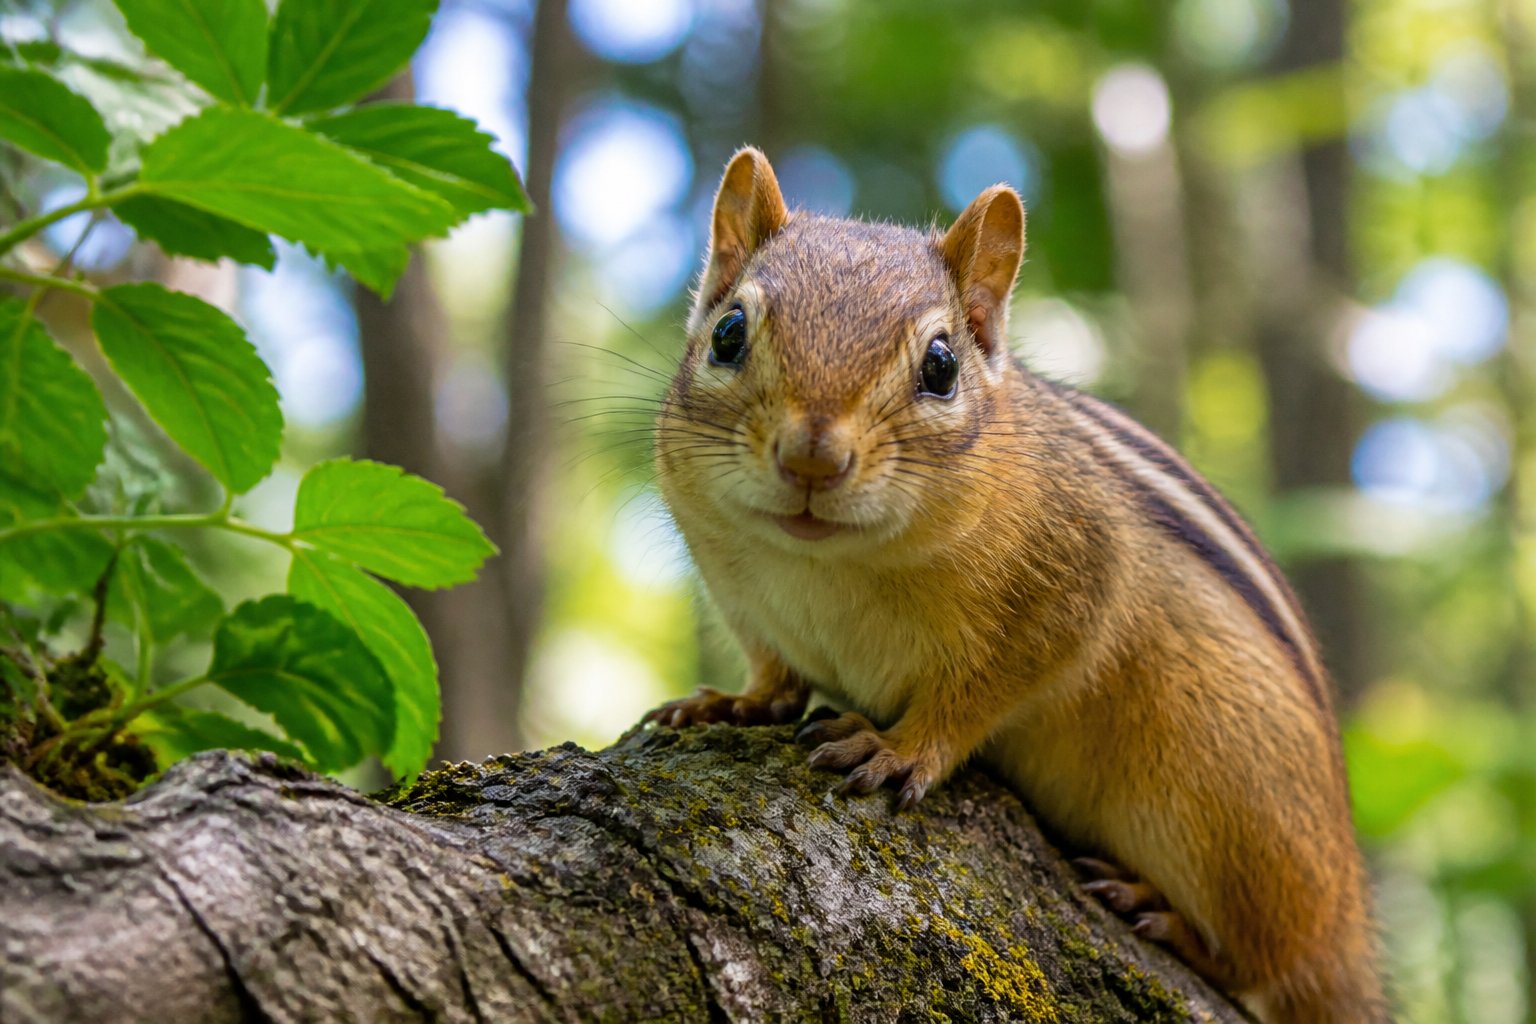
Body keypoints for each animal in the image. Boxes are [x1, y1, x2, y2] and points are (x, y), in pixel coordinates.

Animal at [642, 147, 1386, 1024]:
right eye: (728, 334)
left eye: (940, 366)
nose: (812, 458)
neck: (824, 565)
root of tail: (1344, 923)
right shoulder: (748, 603)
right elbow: (774, 675)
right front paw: (731, 703)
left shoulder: (1068, 591)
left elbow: (980, 694)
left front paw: (899, 747)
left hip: (1227, 810)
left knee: (1262, 962)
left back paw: (1166, 916)